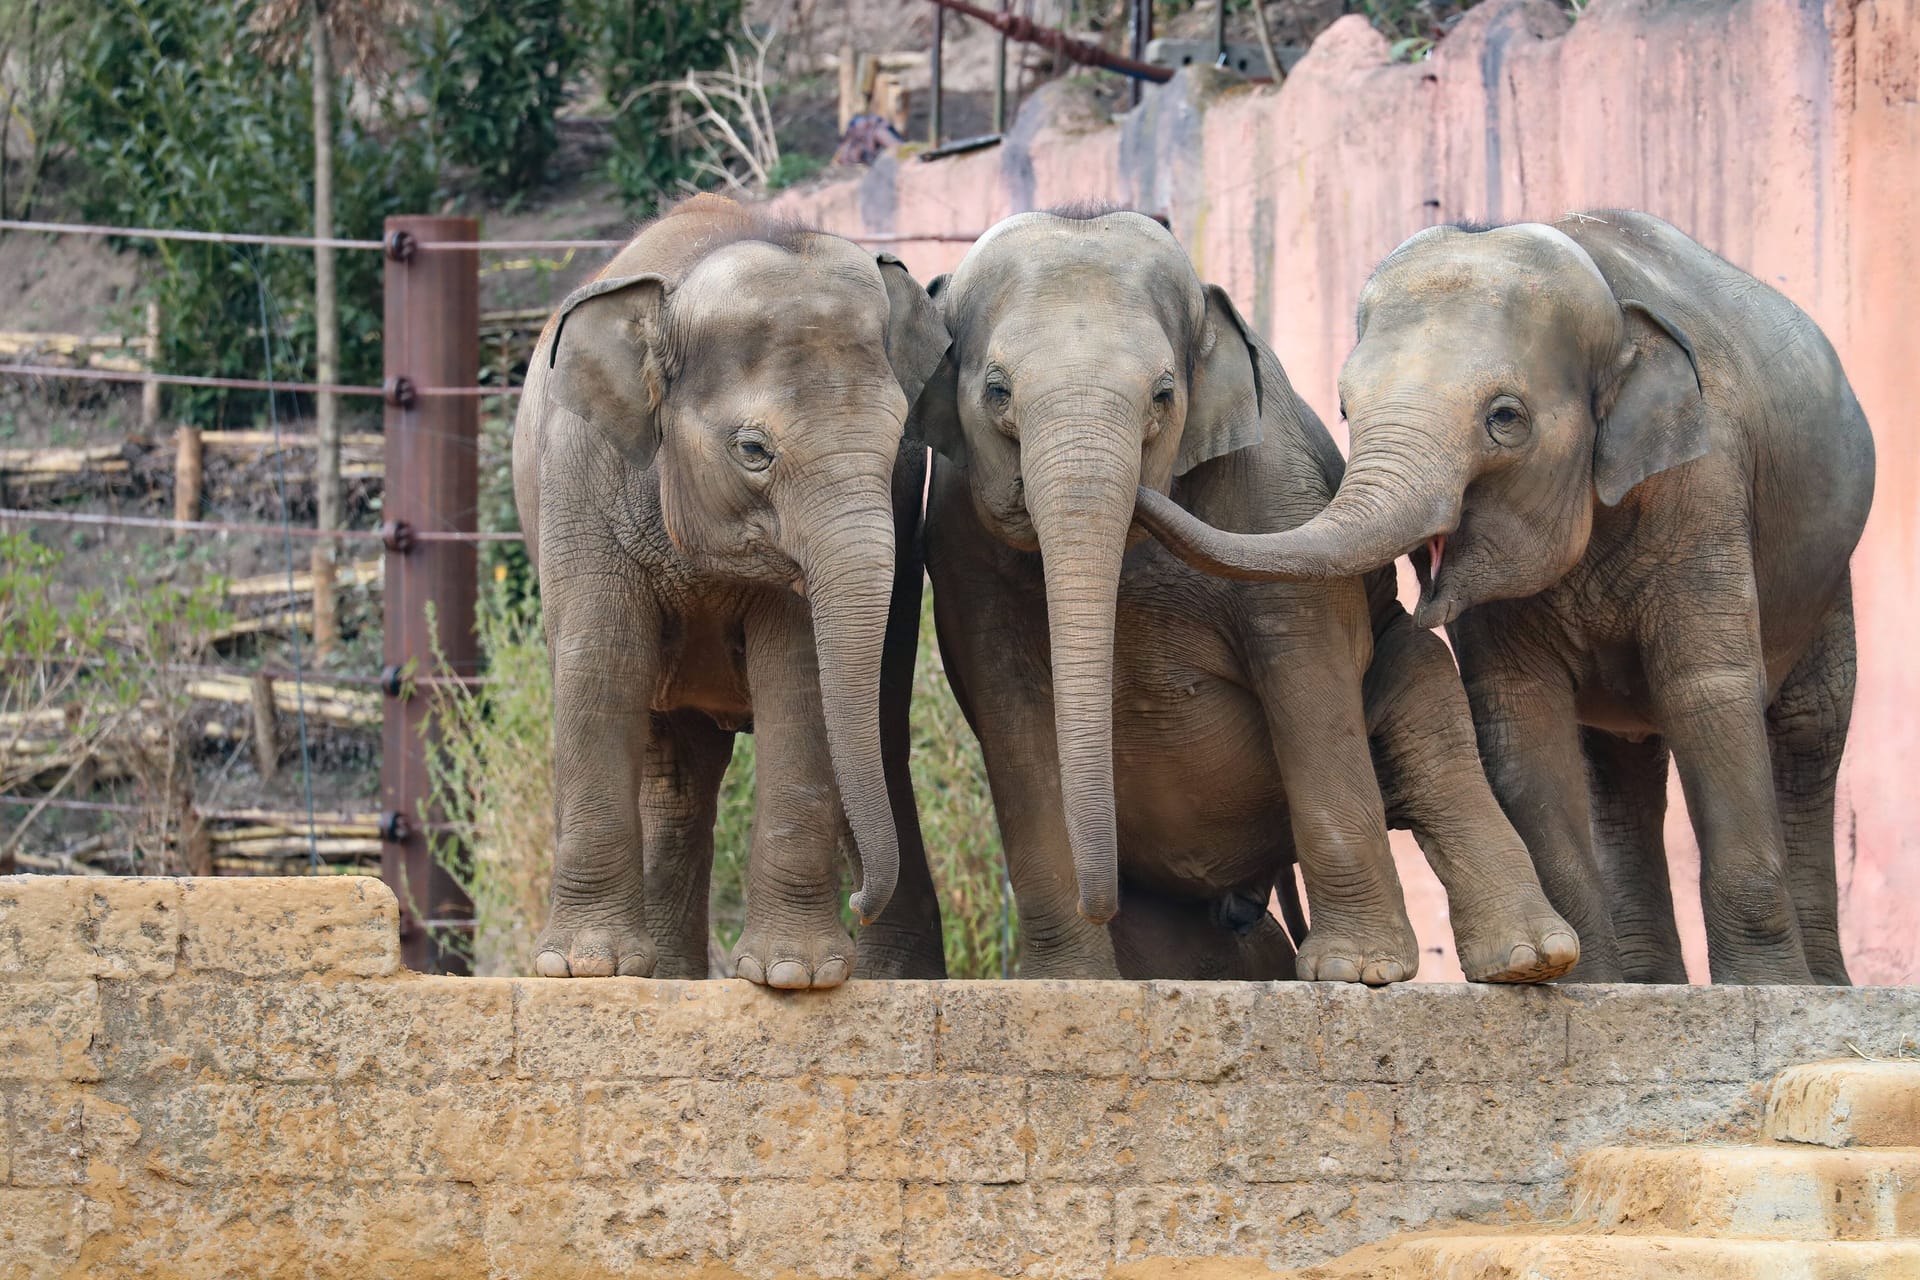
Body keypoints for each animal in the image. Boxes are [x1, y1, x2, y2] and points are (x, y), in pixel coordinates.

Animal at [510, 192, 952, 990]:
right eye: (753, 450)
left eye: (899, 442)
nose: (860, 901)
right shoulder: (579, 473)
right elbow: (601, 665)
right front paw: (583, 969)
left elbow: (801, 678)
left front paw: (794, 976)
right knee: (676, 773)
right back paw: (661, 976)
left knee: (875, 727)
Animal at [910, 210, 1574, 990]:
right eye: (996, 392)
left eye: (1163, 395)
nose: (1095, 896)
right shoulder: (957, 537)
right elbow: (1007, 701)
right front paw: (1068, 984)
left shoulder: (1276, 493)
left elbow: (1306, 669)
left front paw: (1356, 971)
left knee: (1431, 714)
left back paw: (1528, 960)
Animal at [1136, 213, 1873, 990]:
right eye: (1343, 407)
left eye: (1506, 418)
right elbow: (1519, 716)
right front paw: (1574, 985)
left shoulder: (1704, 484)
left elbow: (1707, 691)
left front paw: (1768, 989)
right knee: (1619, 764)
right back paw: (1645, 983)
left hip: (1829, 573)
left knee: (1809, 726)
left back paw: (1821, 983)